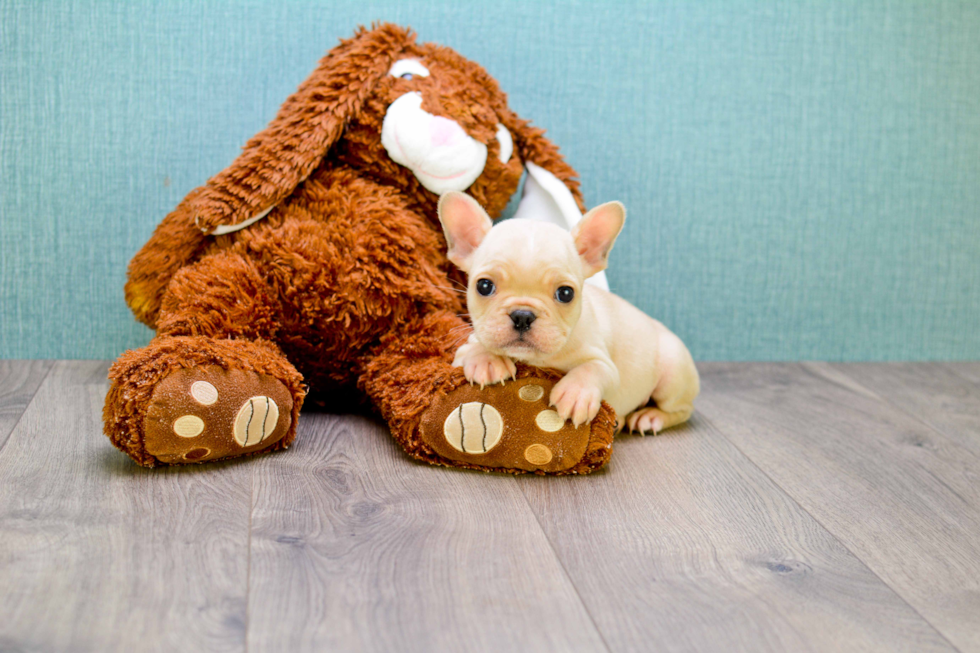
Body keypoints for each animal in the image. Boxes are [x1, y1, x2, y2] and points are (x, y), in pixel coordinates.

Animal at [436, 188, 696, 432]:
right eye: (484, 286)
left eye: (566, 293)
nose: (523, 315)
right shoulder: (463, 351)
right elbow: (474, 347)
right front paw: (487, 360)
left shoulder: (607, 366)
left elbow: (592, 368)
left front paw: (576, 393)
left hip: (672, 375)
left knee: (681, 411)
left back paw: (650, 417)